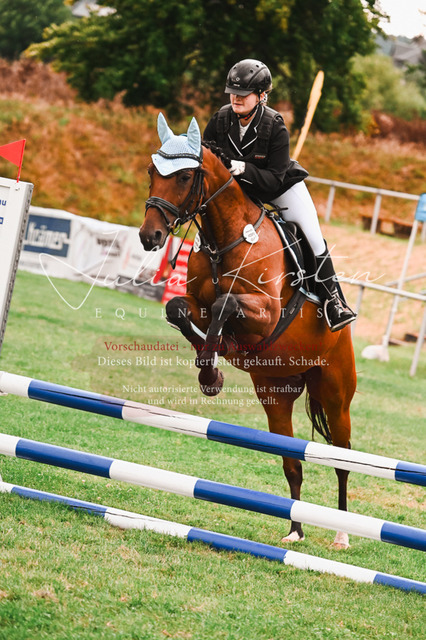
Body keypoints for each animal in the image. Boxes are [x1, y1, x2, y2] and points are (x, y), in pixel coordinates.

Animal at [139, 114, 357, 548]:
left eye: (186, 176)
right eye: (152, 172)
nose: (149, 236)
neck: (226, 237)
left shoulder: (268, 314)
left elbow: (226, 305)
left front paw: (213, 368)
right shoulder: (197, 304)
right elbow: (179, 310)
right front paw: (211, 372)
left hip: (336, 395)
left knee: (342, 460)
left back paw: (341, 536)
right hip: (277, 394)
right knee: (292, 463)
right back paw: (295, 531)